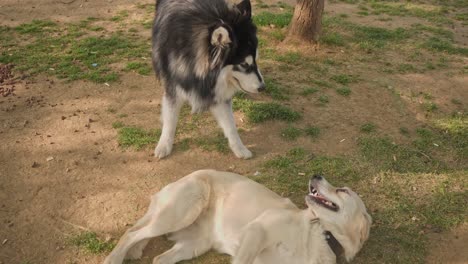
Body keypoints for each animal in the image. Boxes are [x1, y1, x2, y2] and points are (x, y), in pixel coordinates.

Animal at [104, 170, 372, 262]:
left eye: (343, 190)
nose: (316, 174)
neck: (323, 235)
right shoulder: (257, 231)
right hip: (182, 208)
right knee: (131, 234)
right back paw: (113, 259)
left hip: (194, 245)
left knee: (158, 258)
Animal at [153, 0, 266, 159]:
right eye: (244, 64)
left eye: (256, 59)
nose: (263, 87)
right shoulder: (173, 86)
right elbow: (170, 119)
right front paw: (164, 145)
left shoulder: (218, 91)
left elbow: (231, 125)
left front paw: (239, 148)